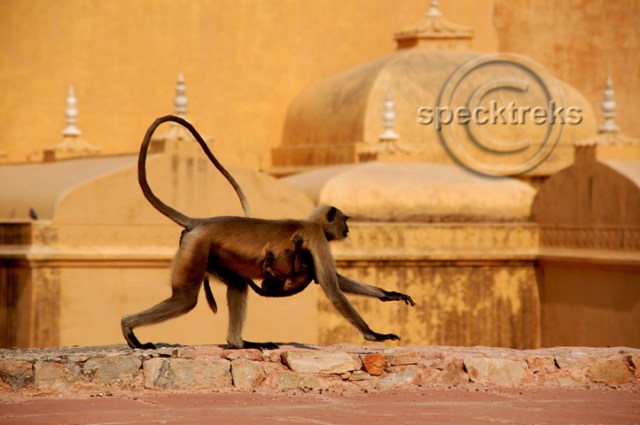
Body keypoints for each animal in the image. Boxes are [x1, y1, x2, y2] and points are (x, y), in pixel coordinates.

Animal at [121, 115, 415, 350]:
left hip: (212, 253)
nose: (348, 229)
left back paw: (238, 343)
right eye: (345, 221)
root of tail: (202, 221)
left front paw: (390, 295)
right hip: (196, 248)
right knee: (185, 300)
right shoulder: (317, 237)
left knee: (237, 285)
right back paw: (128, 327)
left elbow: (334, 279)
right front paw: (374, 334)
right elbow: (331, 288)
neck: (311, 223)